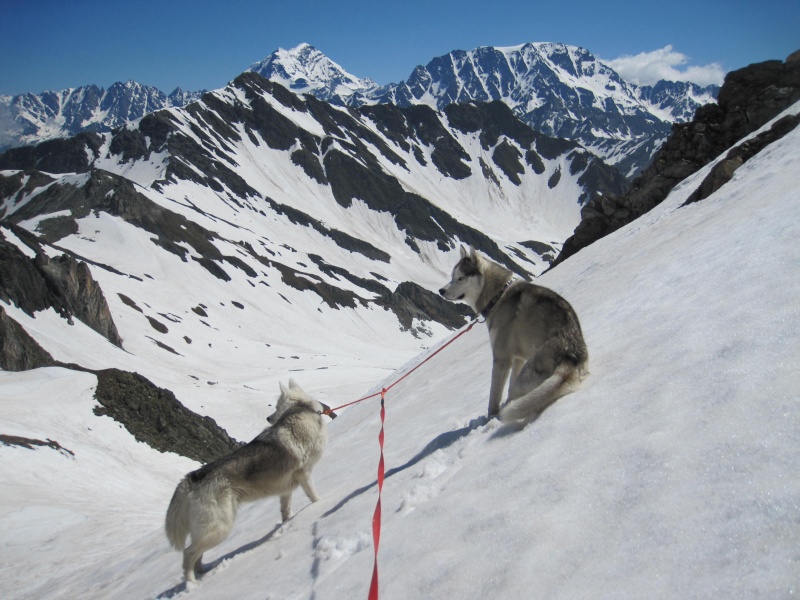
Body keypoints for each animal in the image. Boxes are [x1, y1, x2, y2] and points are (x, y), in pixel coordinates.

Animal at [164, 380, 326, 580]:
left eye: (275, 406)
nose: (268, 418)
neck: (301, 411)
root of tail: (191, 478)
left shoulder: (286, 490)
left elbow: (286, 512)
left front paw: (287, 524)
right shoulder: (305, 474)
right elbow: (314, 496)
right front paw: (321, 505)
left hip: (209, 530)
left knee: (197, 556)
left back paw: (204, 572)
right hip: (220, 528)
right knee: (188, 554)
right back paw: (191, 583)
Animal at [438, 246, 588, 424]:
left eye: (461, 278)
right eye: (452, 276)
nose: (441, 291)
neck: (497, 297)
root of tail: (572, 359)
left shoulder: (502, 359)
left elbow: (493, 398)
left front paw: (491, 416)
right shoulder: (518, 358)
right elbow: (508, 389)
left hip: (524, 378)